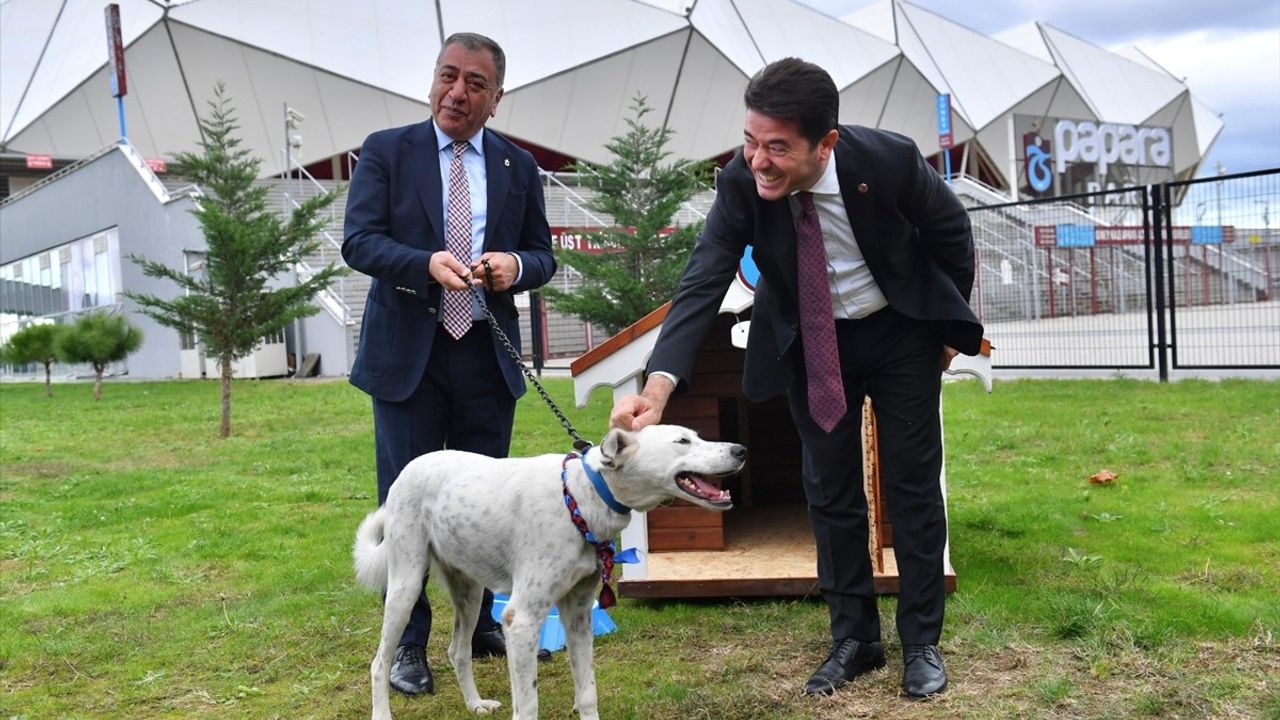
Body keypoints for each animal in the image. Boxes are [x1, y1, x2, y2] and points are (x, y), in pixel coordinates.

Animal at [355, 425, 747, 717]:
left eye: (696, 436)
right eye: (682, 441)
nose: (741, 449)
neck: (582, 495)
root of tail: (412, 465)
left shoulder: (578, 613)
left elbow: (587, 692)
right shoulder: (522, 620)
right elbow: (528, 704)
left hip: (469, 593)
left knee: (458, 651)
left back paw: (475, 704)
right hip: (405, 587)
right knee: (379, 663)